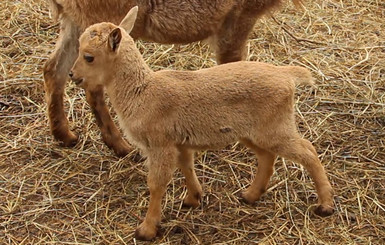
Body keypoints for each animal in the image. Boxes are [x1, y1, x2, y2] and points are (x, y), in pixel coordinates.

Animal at [44, 0, 300, 156]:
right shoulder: (238, 17)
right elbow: (233, 64)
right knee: (91, 85)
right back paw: (122, 147)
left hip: (76, 21)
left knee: (53, 69)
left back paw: (65, 136)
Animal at [69, 6, 332, 240]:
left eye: (89, 57)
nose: (73, 75)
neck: (142, 92)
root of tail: (287, 76)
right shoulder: (179, 142)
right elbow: (187, 166)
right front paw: (193, 199)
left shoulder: (160, 144)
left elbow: (156, 183)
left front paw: (146, 230)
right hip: (253, 131)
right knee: (267, 156)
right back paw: (250, 195)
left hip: (275, 127)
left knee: (308, 151)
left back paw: (325, 206)